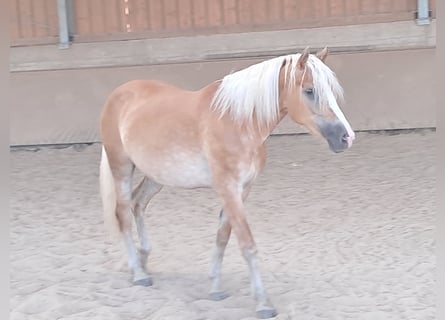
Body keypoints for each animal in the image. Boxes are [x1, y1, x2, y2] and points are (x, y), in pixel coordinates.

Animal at [99, 46, 354, 318]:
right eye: (309, 90)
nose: (347, 137)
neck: (237, 122)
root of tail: (119, 94)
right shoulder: (228, 189)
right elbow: (247, 244)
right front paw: (263, 304)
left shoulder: (242, 190)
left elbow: (223, 237)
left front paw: (215, 289)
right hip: (121, 167)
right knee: (123, 213)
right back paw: (138, 273)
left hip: (157, 175)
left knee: (138, 204)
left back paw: (143, 260)